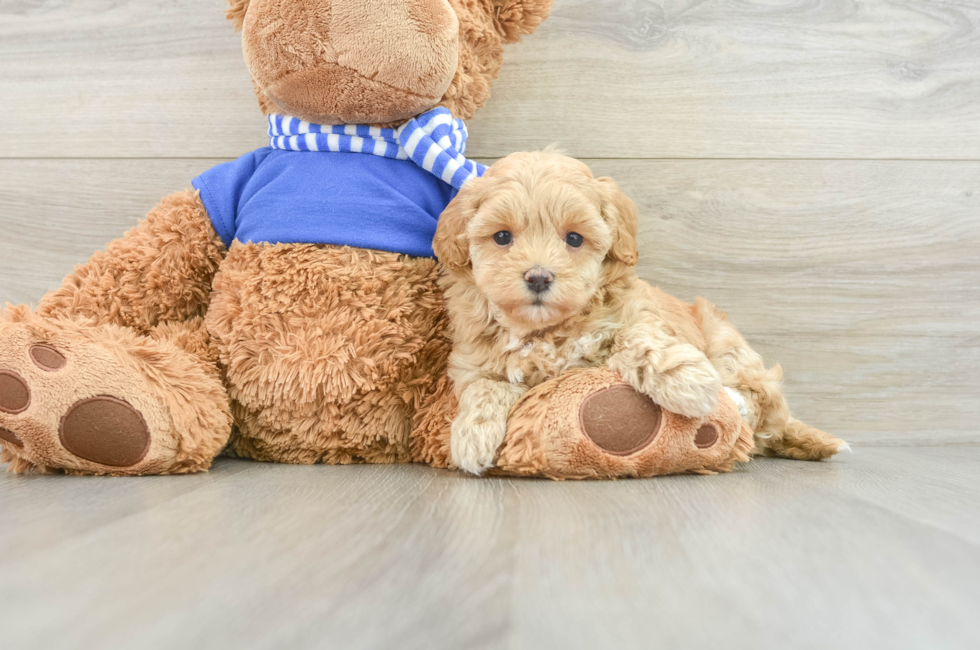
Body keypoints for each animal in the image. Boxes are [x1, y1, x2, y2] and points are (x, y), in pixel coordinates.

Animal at [432, 149, 848, 474]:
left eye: (574, 239)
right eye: (502, 236)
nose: (538, 277)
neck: (545, 330)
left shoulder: (635, 314)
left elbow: (639, 339)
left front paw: (688, 381)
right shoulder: (474, 362)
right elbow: (485, 386)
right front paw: (472, 435)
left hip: (726, 341)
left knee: (761, 401)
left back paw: (735, 402)